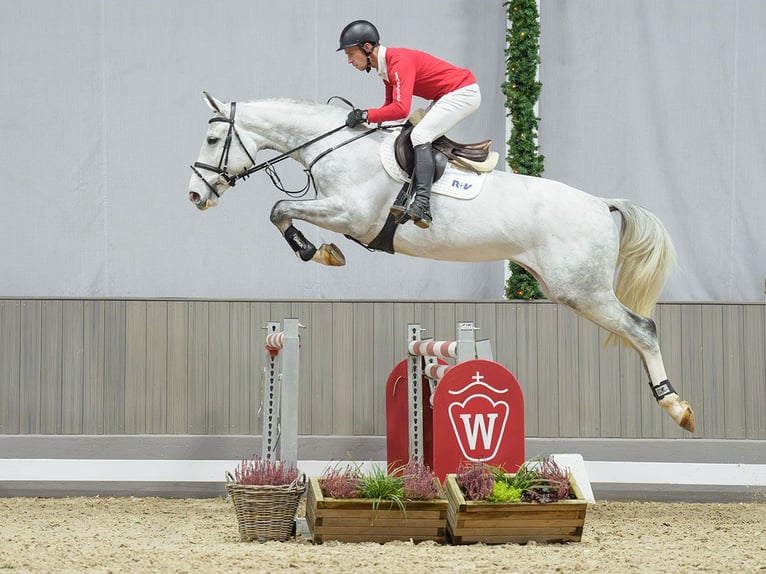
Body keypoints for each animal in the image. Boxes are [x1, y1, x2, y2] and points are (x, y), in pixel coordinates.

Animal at [189, 93, 700, 432]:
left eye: (213, 138)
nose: (196, 196)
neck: (335, 147)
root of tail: (600, 203)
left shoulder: (351, 215)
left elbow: (279, 208)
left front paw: (318, 252)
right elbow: (280, 210)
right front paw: (323, 252)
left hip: (581, 291)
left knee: (642, 329)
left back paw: (676, 407)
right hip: (572, 289)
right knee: (634, 331)